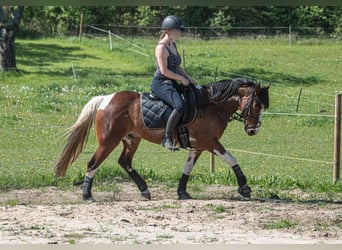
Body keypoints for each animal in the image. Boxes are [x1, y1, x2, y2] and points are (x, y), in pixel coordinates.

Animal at [54, 77, 270, 202]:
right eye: (257, 104)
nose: (253, 130)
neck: (211, 106)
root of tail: (106, 99)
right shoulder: (210, 142)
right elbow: (232, 158)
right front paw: (244, 187)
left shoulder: (198, 146)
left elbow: (187, 167)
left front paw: (182, 192)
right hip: (109, 141)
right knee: (93, 163)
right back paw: (87, 195)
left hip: (132, 139)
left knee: (125, 162)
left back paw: (144, 190)